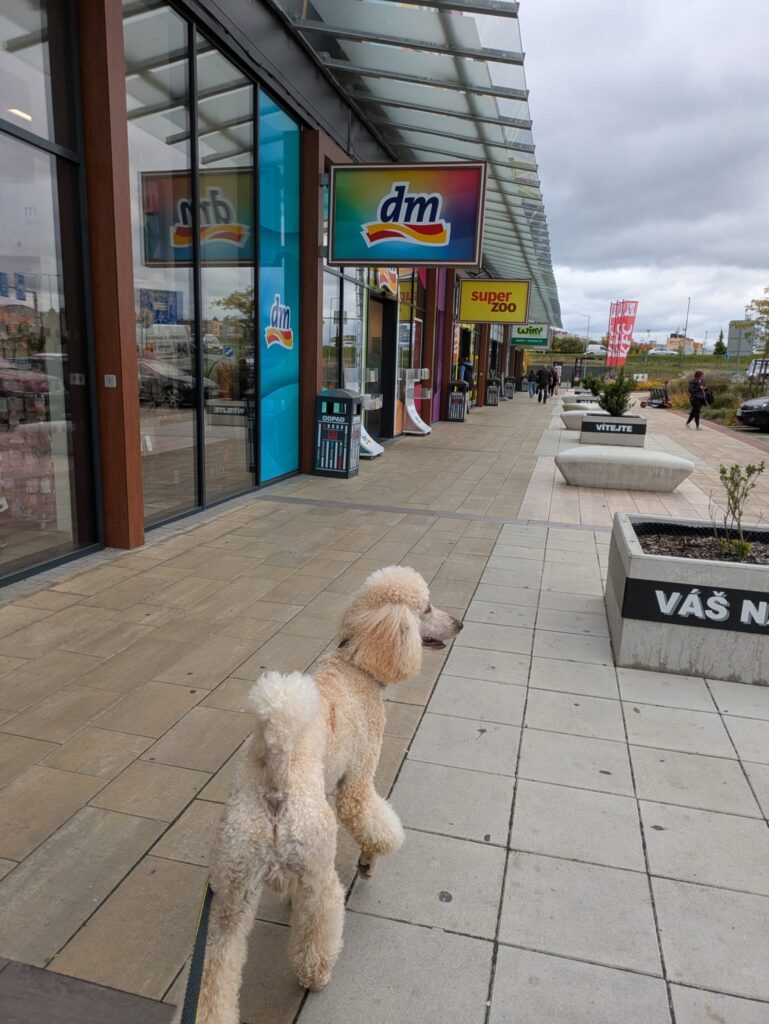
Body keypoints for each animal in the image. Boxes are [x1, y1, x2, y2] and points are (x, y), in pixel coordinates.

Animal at [188, 565, 462, 1024]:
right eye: (425, 608)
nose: (459, 624)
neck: (357, 662)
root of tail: (276, 778)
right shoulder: (357, 780)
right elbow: (372, 819)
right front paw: (373, 859)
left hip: (232, 887)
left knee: (218, 965)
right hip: (317, 860)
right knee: (324, 908)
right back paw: (315, 974)